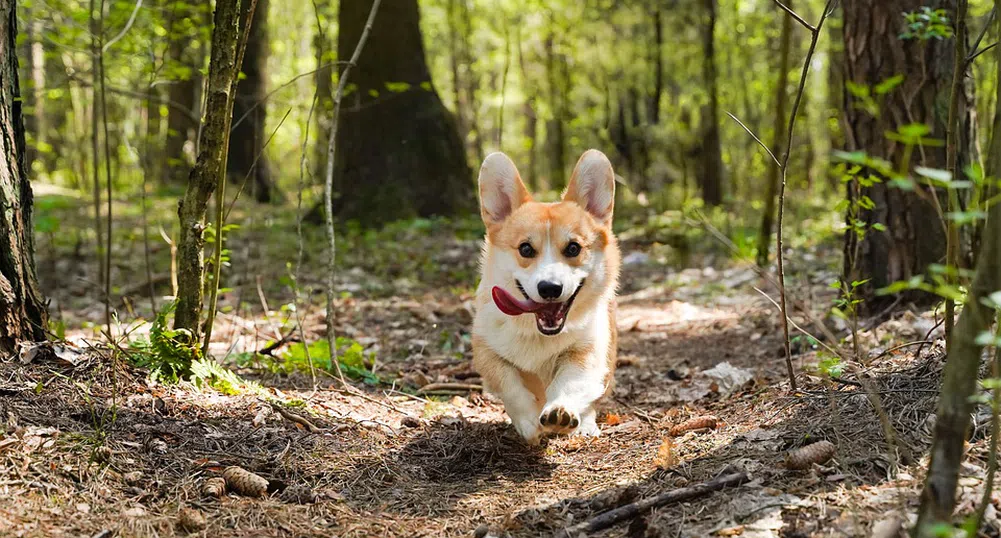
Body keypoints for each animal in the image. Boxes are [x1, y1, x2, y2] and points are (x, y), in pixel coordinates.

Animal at [468, 149, 616, 442]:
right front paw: (527, 422)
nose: (549, 288)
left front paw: (560, 412)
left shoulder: (585, 351)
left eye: (573, 248)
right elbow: (509, 382)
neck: (539, 334)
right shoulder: (486, 351)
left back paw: (585, 423)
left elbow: (569, 381)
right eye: (526, 249)